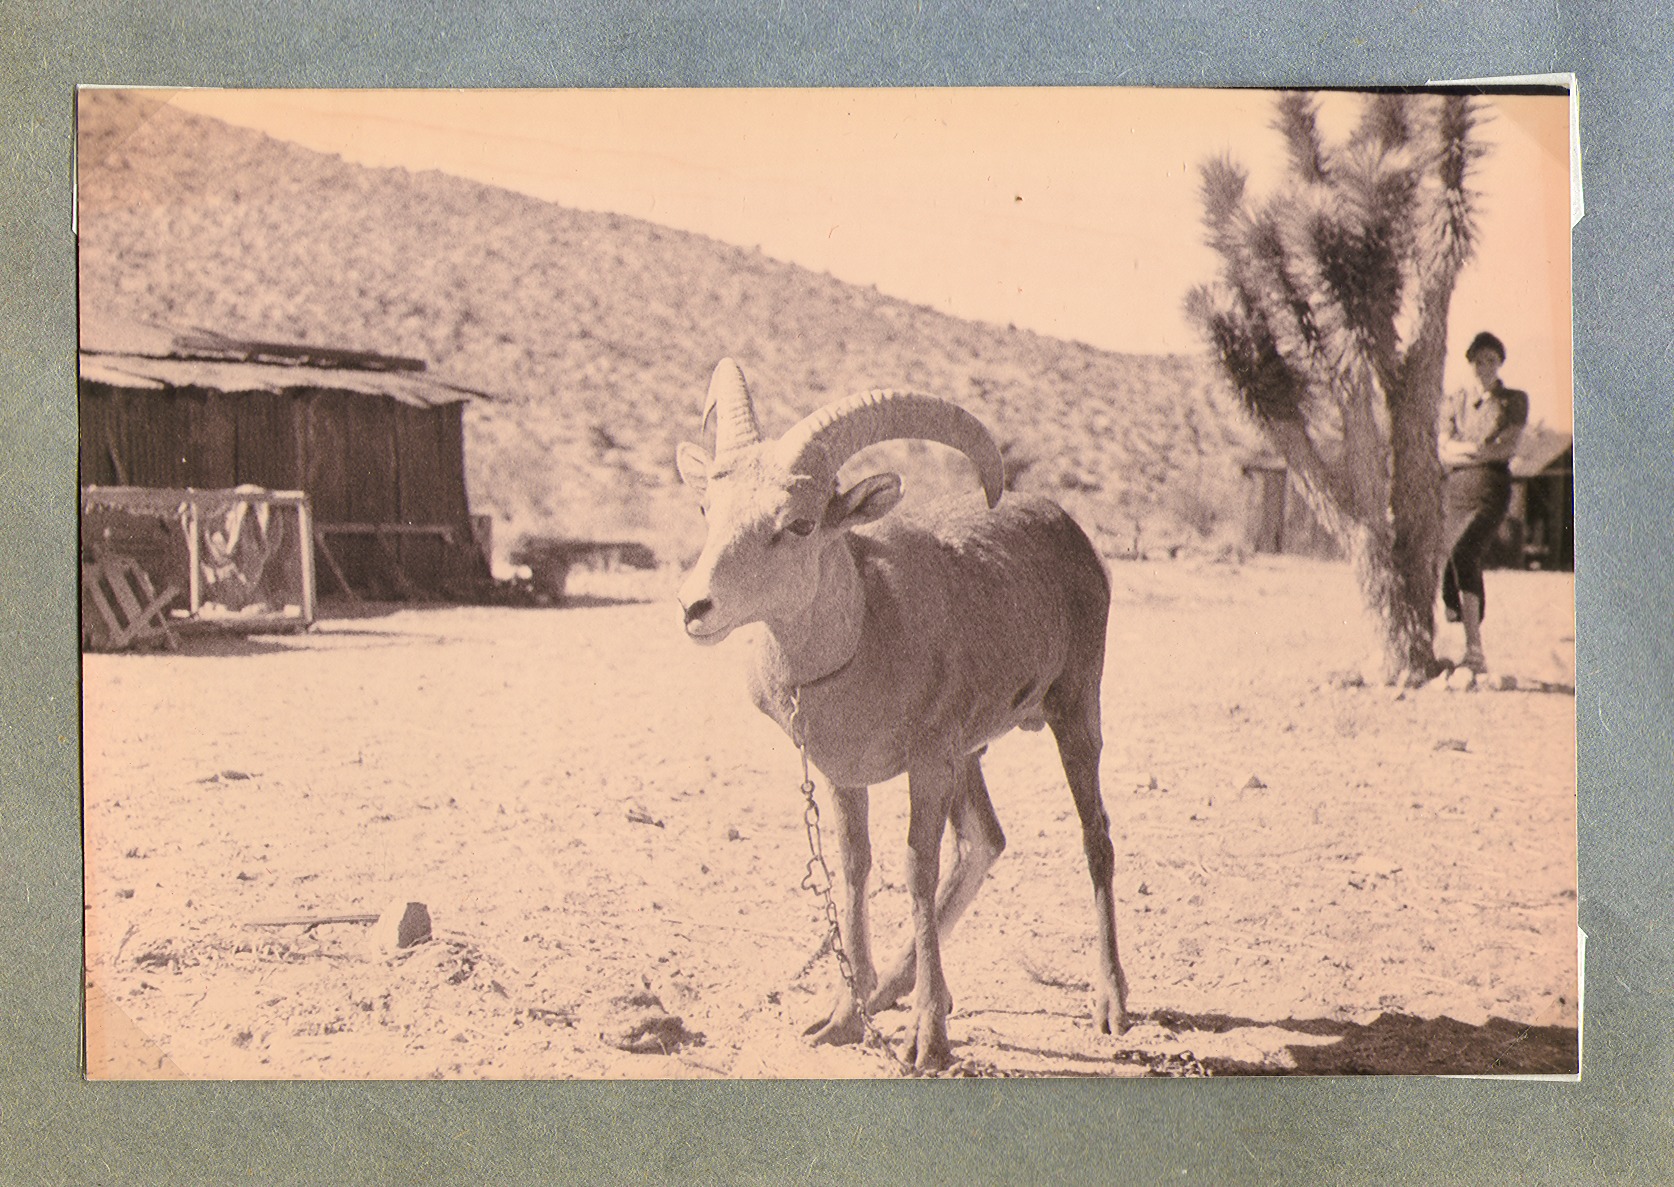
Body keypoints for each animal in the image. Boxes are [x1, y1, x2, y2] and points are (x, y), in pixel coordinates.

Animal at [675, 358, 1127, 1070]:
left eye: (798, 524)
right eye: (705, 509)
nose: (696, 607)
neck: (862, 635)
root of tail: (1069, 530)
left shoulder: (926, 763)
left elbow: (917, 867)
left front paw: (927, 1042)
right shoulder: (843, 776)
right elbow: (854, 866)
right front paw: (842, 1018)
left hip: (1075, 713)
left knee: (1094, 837)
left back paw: (1108, 1003)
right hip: (971, 753)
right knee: (985, 841)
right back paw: (893, 988)